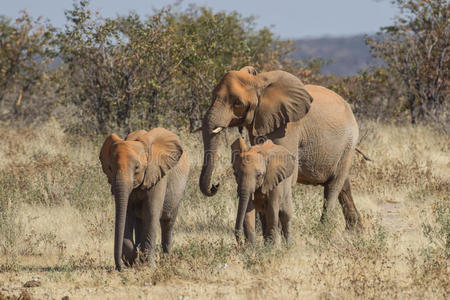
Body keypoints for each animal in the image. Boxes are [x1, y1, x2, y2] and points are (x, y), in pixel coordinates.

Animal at [99, 127, 189, 270]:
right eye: (110, 168)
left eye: (137, 168)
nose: (119, 268)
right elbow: (127, 213)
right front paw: (132, 260)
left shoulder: (157, 174)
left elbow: (151, 213)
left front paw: (148, 267)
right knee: (139, 221)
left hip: (179, 190)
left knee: (167, 221)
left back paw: (167, 259)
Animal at [200, 67, 362, 243]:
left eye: (237, 103)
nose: (215, 186)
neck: (259, 81)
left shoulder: (288, 126)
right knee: (343, 185)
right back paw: (355, 230)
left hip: (348, 143)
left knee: (333, 187)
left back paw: (323, 232)